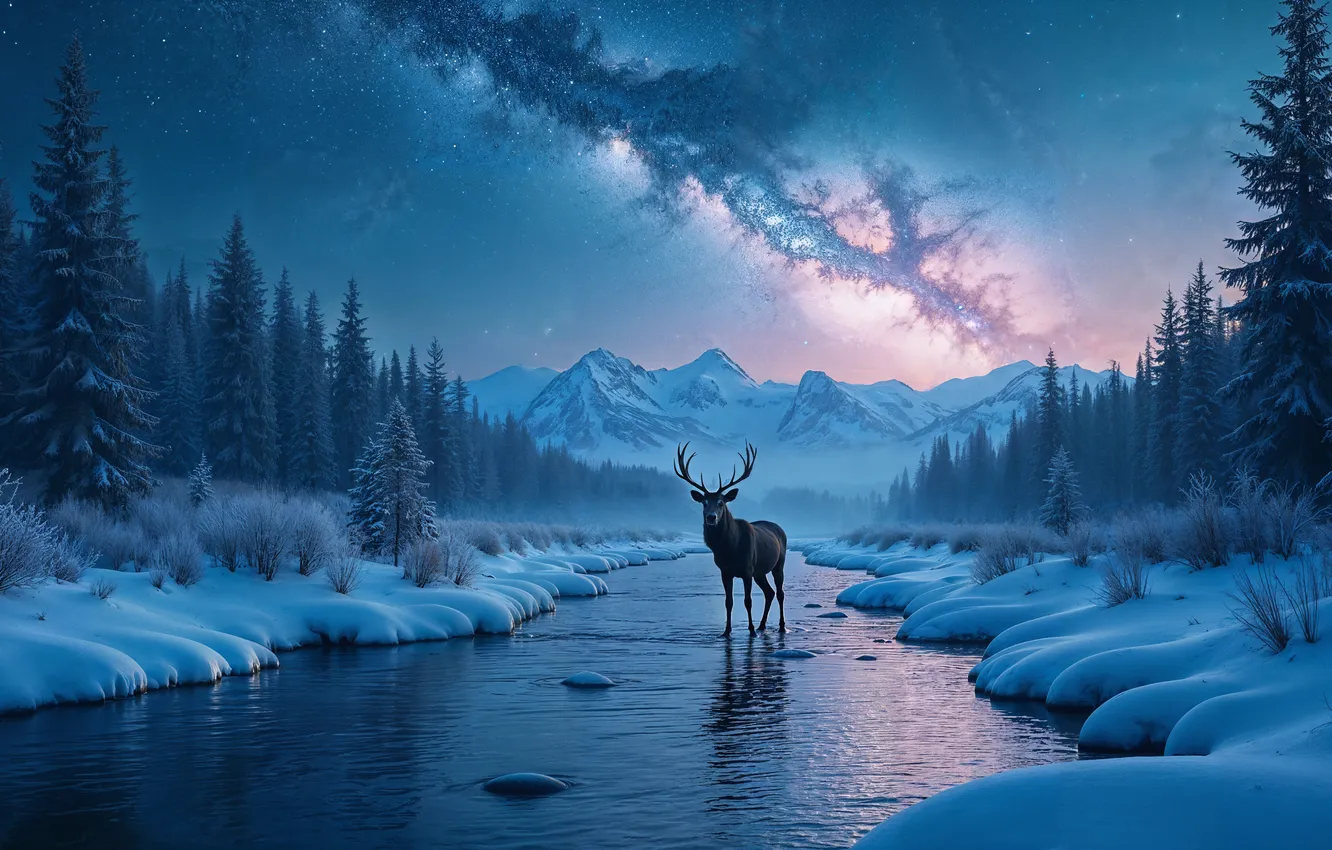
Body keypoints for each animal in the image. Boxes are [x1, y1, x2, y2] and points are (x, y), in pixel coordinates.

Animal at [674, 442, 787, 637]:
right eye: (704, 503)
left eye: (721, 502)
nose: (711, 517)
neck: (730, 548)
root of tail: (780, 529)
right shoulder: (725, 571)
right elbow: (729, 602)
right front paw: (726, 631)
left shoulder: (747, 569)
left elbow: (748, 601)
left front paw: (750, 630)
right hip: (760, 572)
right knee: (769, 593)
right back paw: (762, 625)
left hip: (778, 563)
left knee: (780, 593)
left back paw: (780, 626)